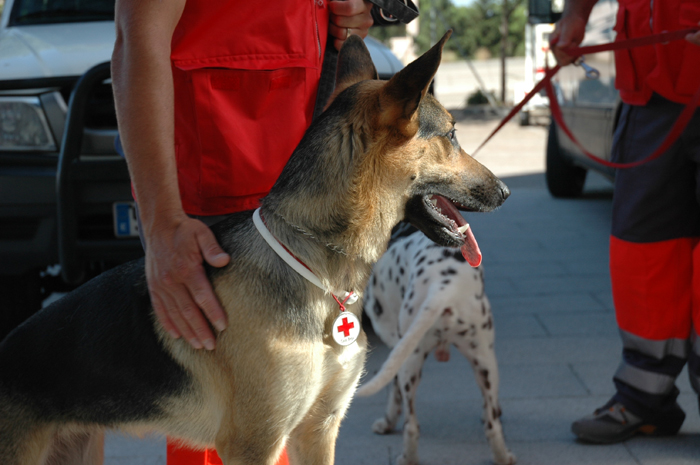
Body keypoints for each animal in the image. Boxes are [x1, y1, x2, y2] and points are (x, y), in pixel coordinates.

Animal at [356, 231, 516, 464]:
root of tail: (445, 287)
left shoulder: (395, 346)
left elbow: (393, 395)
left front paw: (387, 422)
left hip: (408, 362)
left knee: (411, 425)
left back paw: (407, 458)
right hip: (485, 362)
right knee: (492, 425)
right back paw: (502, 455)